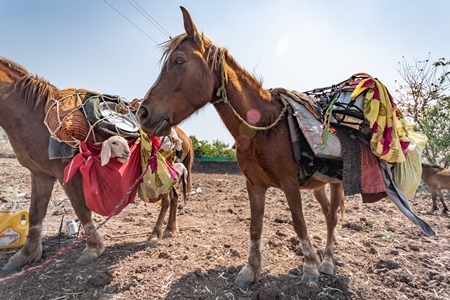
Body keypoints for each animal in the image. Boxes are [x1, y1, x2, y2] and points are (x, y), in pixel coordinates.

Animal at [0, 55, 192, 270]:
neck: (35, 114)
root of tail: (182, 136)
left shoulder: (65, 170)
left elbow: (81, 209)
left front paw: (93, 247)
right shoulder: (40, 174)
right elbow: (35, 213)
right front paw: (25, 254)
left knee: (167, 199)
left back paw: (155, 233)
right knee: (174, 198)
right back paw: (169, 229)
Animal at [138, 7, 344, 288]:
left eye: (179, 61)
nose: (143, 113)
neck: (264, 127)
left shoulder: (290, 184)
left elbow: (299, 222)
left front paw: (310, 267)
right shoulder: (254, 185)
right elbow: (255, 226)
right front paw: (250, 270)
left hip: (336, 183)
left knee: (332, 217)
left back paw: (327, 261)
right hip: (318, 185)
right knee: (327, 213)